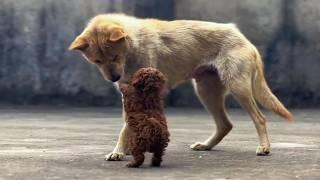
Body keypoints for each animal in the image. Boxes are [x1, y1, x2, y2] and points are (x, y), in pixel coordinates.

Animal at [69, 13, 292, 160]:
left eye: (115, 56)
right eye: (97, 61)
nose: (114, 78)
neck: (133, 44)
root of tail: (242, 36)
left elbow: (126, 128)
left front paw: (119, 151)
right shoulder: (129, 96)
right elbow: (128, 125)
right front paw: (123, 150)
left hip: (238, 88)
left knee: (260, 118)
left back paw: (264, 147)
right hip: (206, 92)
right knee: (225, 124)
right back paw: (206, 145)